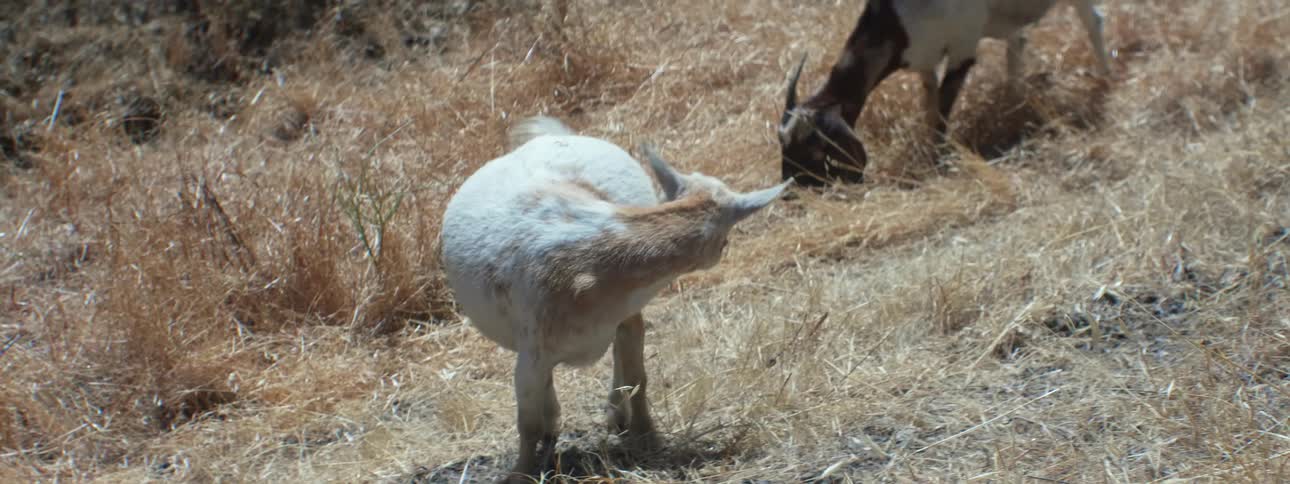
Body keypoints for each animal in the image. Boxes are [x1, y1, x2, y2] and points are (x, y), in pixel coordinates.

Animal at [439, 116, 790, 482]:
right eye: (725, 243)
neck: (590, 262)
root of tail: (546, 136)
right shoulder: (532, 353)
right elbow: (528, 423)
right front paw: (520, 473)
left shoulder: (627, 316)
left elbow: (638, 379)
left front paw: (648, 437)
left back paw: (614, 419)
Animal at [778, 0, 1113, 186]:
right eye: (784, 146)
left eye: (815, 150)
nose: (793, 192)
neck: (899, 18)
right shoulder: (924, 60)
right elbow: (931, 106)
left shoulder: (962, 48)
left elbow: (943, 111)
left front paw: (937, 162)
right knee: (1016, 44)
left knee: (1094, 20)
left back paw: (1107, 80)